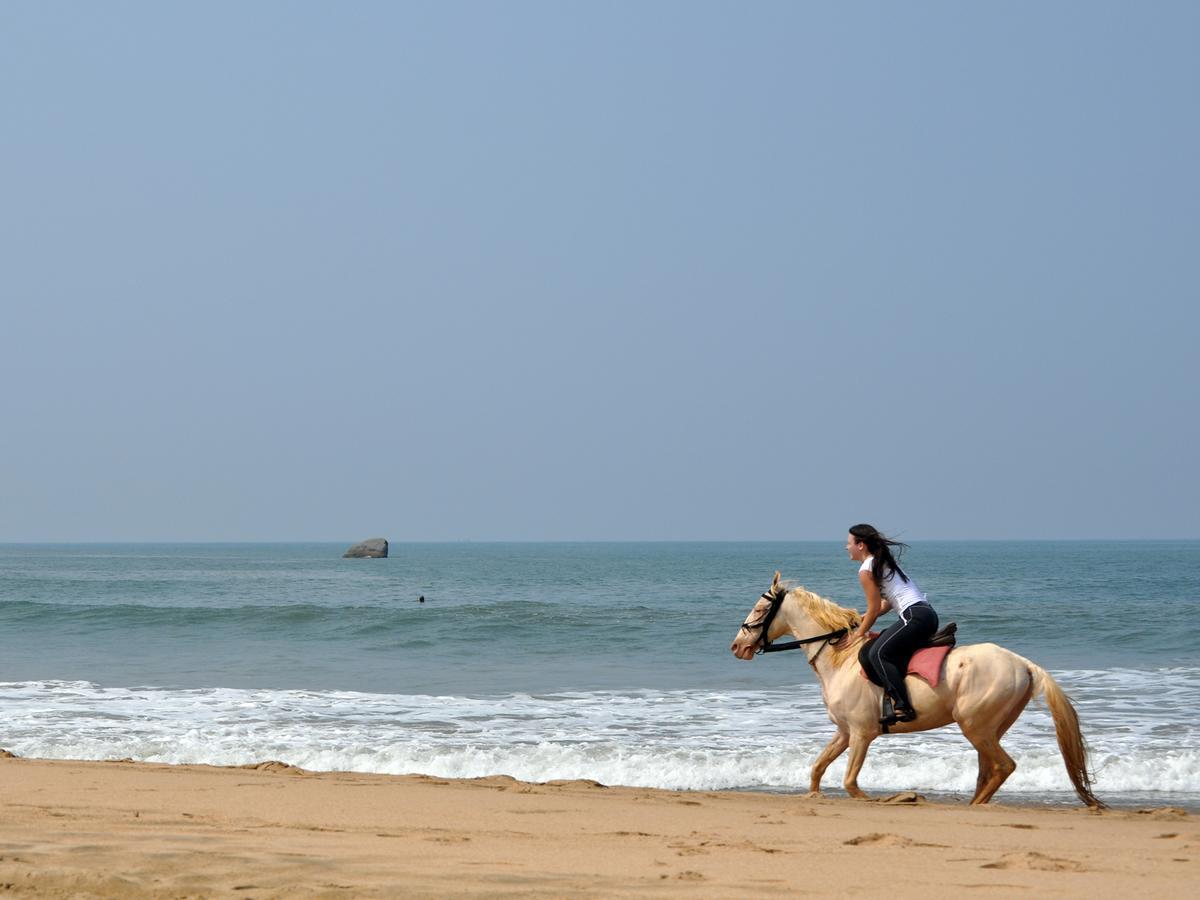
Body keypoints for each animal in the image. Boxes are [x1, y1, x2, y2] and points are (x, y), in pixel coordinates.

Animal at [724, 573, 1099, 816]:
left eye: (759, 610)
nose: (737, 647)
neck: (840, 658)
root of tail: (1023, 664)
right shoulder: (844, 731)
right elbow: (817, 768)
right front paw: (814, 797)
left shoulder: (862, 733)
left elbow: (850, 782)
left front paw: (880, 800)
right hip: (989, 728)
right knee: (989, 770)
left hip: (975, 726)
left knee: (1003, 766)